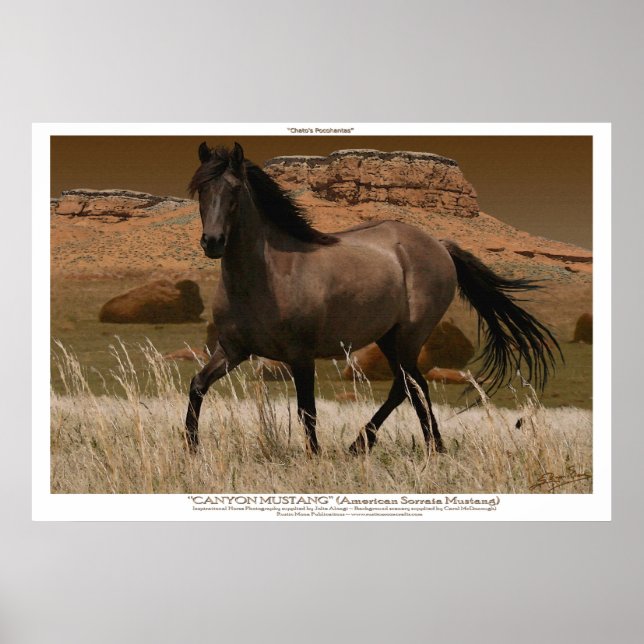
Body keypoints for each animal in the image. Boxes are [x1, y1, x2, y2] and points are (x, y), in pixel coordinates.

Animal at [185, 142, 561, 455]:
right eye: (201, 188)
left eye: (235, 189)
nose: (213, 242)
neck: (269, 276)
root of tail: (439, 245)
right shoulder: (233, 350)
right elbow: (197, 385)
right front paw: (191, 448)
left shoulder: (301, 356)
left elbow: (307, 410)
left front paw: (314, 456)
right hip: (388, 337)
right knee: (414, 386)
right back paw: (431, 447)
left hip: (408, 335)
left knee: (405, 386)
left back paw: (363, 444)